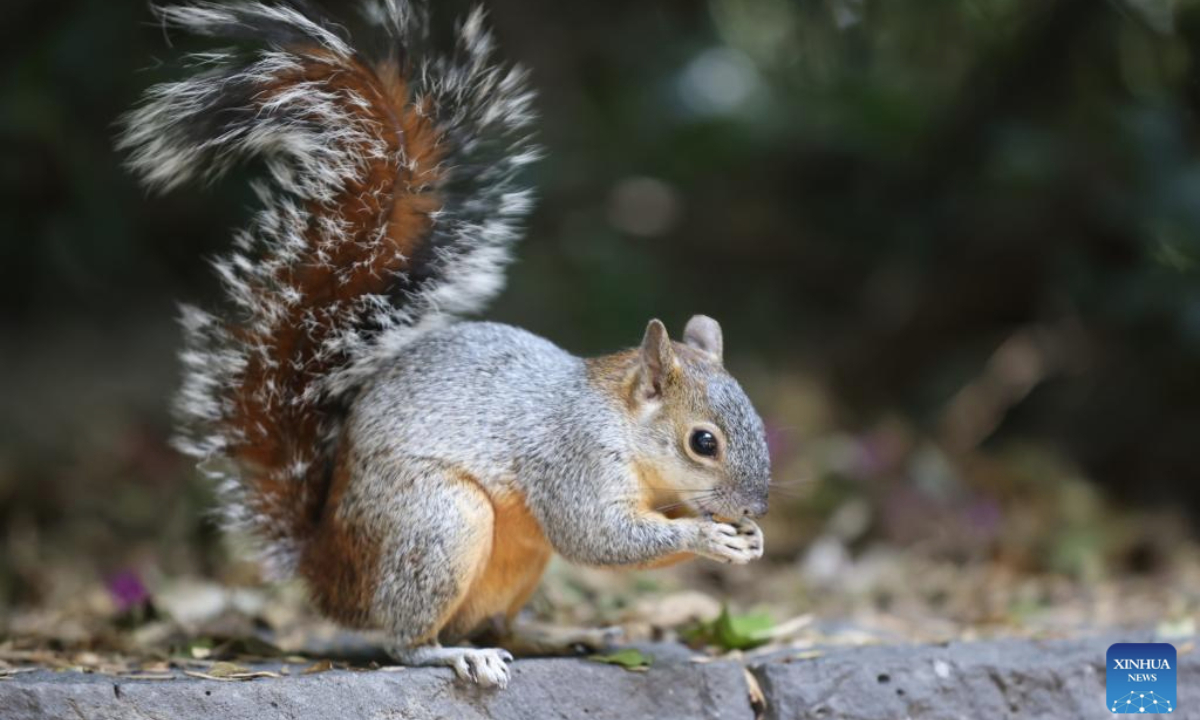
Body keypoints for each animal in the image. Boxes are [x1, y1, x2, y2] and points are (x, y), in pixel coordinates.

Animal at [119, 0, 770, 688]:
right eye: (703, 443)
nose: (756, 508)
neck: (622, 425)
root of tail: (328, 569)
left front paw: (747, 539)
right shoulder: (573, 460)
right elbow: (596, 535)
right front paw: (707, 537)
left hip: (514, 561)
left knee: (499, 625)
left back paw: (565, 634)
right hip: (439, 523)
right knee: (406, 639)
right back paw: (456, 654)